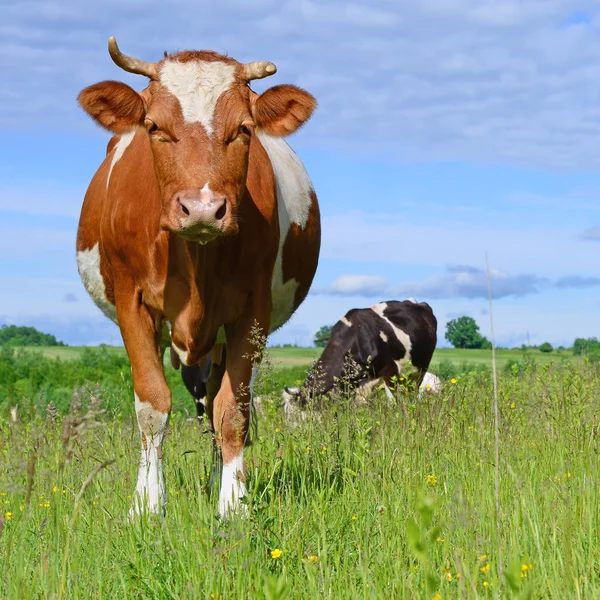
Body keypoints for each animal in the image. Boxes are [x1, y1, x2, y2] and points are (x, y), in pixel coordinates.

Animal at [77, 37, 322, 516]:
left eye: (243, 129)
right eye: (153, 126)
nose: (204, 210)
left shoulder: (252, 311)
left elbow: (232, 411)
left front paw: (233, 503)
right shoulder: (131, 302)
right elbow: (152, 406)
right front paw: (146, 505)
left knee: (211, 403)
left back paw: (214, 482)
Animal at [282, 298, 436, 410]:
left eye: (302, 409)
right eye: (287, 413)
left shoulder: (390, 370)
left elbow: (394, 401)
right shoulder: (348, 385)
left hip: (421, 368)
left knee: (413, 390)